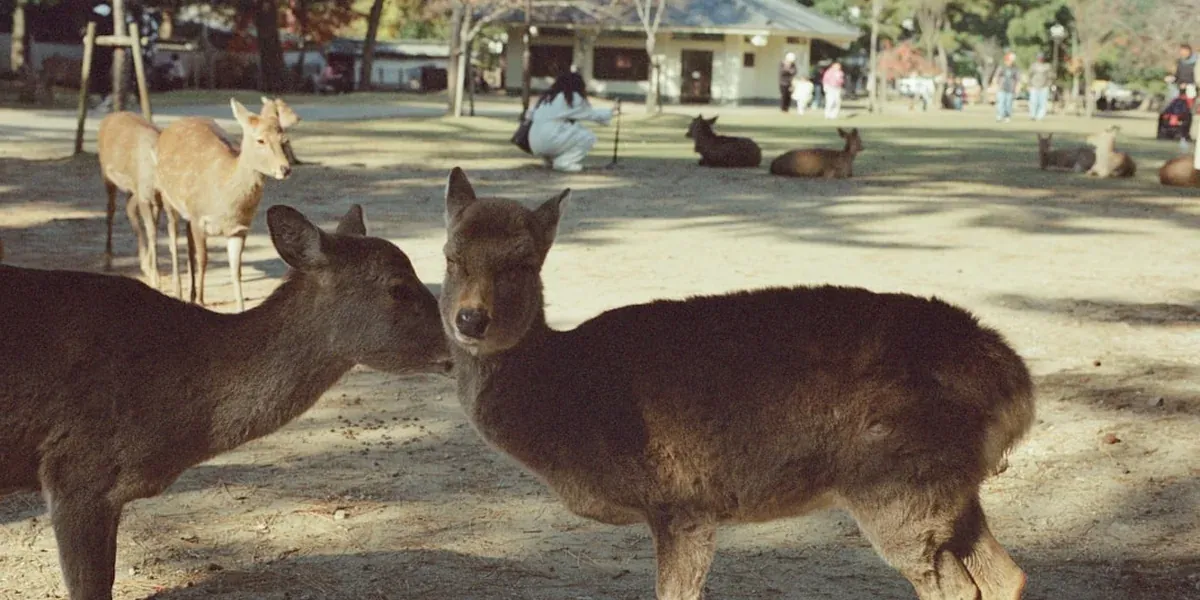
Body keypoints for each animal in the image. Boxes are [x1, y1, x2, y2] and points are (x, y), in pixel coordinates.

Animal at [97, 111, 162, 287]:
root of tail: (108, 117)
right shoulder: (145, 196)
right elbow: (152, 231)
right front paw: (155, 277)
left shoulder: (155, 200)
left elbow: (152, 229)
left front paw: (150, 268)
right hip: (107, 176)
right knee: (110, 210)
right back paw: (107, 259)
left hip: (133, 189)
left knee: (129, 210)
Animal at [155, 98, 292, 312]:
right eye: (260, 140)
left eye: (284, 140)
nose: (285, 169)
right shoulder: (199, 217)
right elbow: (204, 259)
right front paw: (201, 302)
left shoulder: (239, 229)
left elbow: (236, 269)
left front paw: (240, 308)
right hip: (167, 196)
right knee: (173, 239)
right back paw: (179, 291)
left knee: (188, 242)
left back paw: (190, 293)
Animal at [440, 166, 1035, 600]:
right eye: (450, 257)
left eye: (523, 264)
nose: (470, 320)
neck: (566, 394)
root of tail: (1016, 384)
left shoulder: (680, 503)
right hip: (953, 491)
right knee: (1007, 576)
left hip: (900, 489)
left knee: (959, 587)